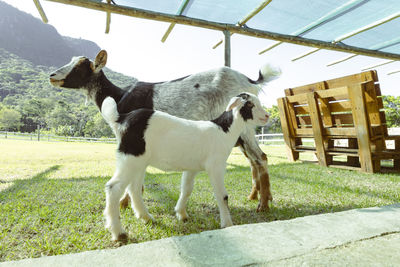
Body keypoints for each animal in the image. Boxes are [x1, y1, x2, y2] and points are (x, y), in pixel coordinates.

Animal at [49, 49, 282, 211]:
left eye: (80, 67)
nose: (52, 75)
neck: (119, 97)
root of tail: (250, 81)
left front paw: (124, 203)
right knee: (255, 159)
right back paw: (257, 197)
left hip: (243, 127)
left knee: (260, 157)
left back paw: (263, 205)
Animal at [100, 93, 268, 242]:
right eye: (250, 104)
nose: (267, 116)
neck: (223, 130)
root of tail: (121, 119)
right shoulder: (216, 165)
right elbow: (222, 196)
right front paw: (227, 224)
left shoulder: (191, 168)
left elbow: (186, 189)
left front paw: (181, 214)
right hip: (131, 157)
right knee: (113, 188)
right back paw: (119, 233)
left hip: (138, 161)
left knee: (134, 188)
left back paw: (146, 217)